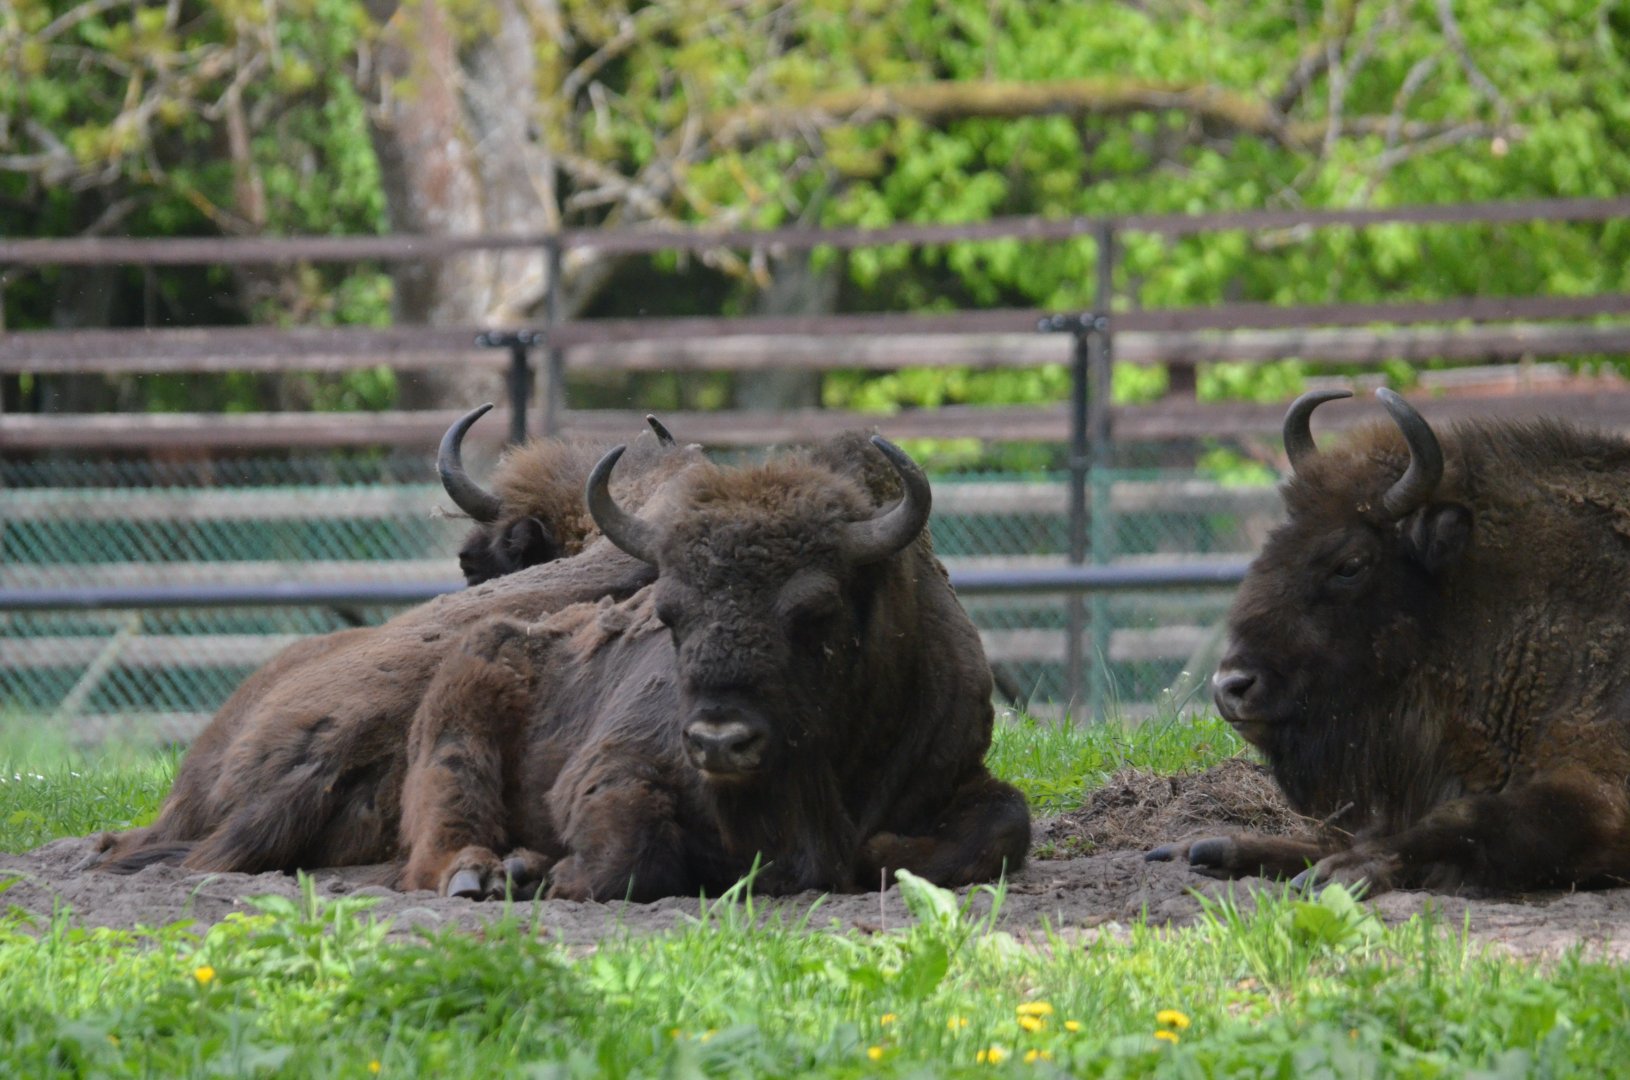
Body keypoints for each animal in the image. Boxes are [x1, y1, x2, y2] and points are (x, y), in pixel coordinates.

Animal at [398, 432, 1031, 899]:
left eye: (815, 611)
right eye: (669, 613)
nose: (719, 741)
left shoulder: (953, 773)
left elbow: (1005, 825)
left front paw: (878, 854)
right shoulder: (614, 762)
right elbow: (630, 848)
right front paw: (552, 876)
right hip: (460, 719)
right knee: (445, 808)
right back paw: (483, 875)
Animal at [1149, 388, 1630, 893]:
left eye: (1350, 564)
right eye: (1276, 543)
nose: (1232, 687)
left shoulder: (1599, 796)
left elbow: (1459, 820)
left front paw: (1343, 870)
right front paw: (1205, 848)